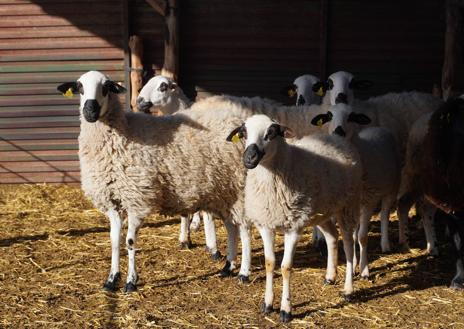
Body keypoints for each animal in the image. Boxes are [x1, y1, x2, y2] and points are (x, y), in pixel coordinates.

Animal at [58, 71, 334, 290]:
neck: (123, 134)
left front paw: (130, 281)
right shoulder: (114, 201)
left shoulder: (138, 197)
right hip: (223, 190)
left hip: (240, 189)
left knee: (244, 230)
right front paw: (111, 279)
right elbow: (114, 242)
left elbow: (129, 242)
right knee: (232, 227)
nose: (90, 110)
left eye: (105, 87)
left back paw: (243, 271)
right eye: (80, 87)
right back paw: (227, 266)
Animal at [228, 114, 362, 322]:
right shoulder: (266, 224)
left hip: (348, 205)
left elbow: (285, 267)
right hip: (321, 212)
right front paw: (267, 304)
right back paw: (330, 277)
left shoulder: (293, 227)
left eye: (271, 133)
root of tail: (335, 138)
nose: (249, 158)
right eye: (244, 133)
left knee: (348, 245)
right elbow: (269, 263)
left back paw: (348, 290)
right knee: (332, 237)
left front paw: (286, 309)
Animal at [310, 102, 400, 276]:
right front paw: (352, 267)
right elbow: (350, 237)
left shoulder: (369, 200)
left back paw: (385, 244)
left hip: (392, 186)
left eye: (352, 116)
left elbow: (362, 237)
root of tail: (378, 128)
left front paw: (364, 270)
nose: (338, 131)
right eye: (329, 115)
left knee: (384, 213)